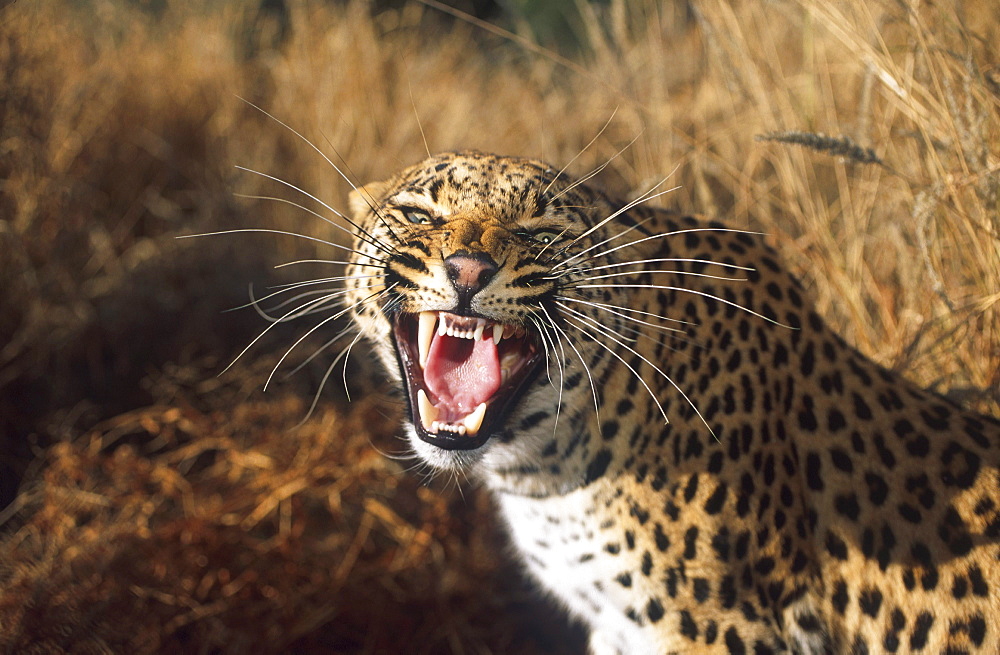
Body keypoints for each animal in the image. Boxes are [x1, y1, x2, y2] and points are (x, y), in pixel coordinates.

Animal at [340, 152, 996, 655]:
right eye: (417, 216)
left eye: (541, 233)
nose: (469, 269)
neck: (543, 470)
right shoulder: (615, 624)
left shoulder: (719, 630)